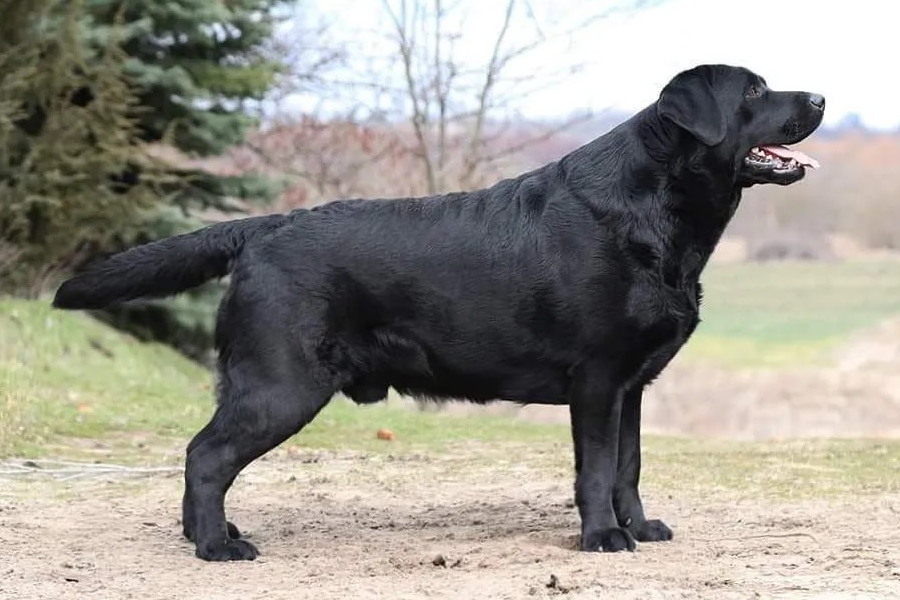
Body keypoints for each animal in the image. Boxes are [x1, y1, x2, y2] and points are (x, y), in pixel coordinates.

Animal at [52, 63, 828, 560]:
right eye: (754, 90)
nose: (821, 97)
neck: (655, 209)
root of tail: (262, 228)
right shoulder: (597, 380)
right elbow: (598, 469)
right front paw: (603, 539)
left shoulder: (630, 385)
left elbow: (630, 467)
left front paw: (638, 528)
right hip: (283, 383)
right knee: (207, 455)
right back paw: (216, 548)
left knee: (202, 453)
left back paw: (208, 535)